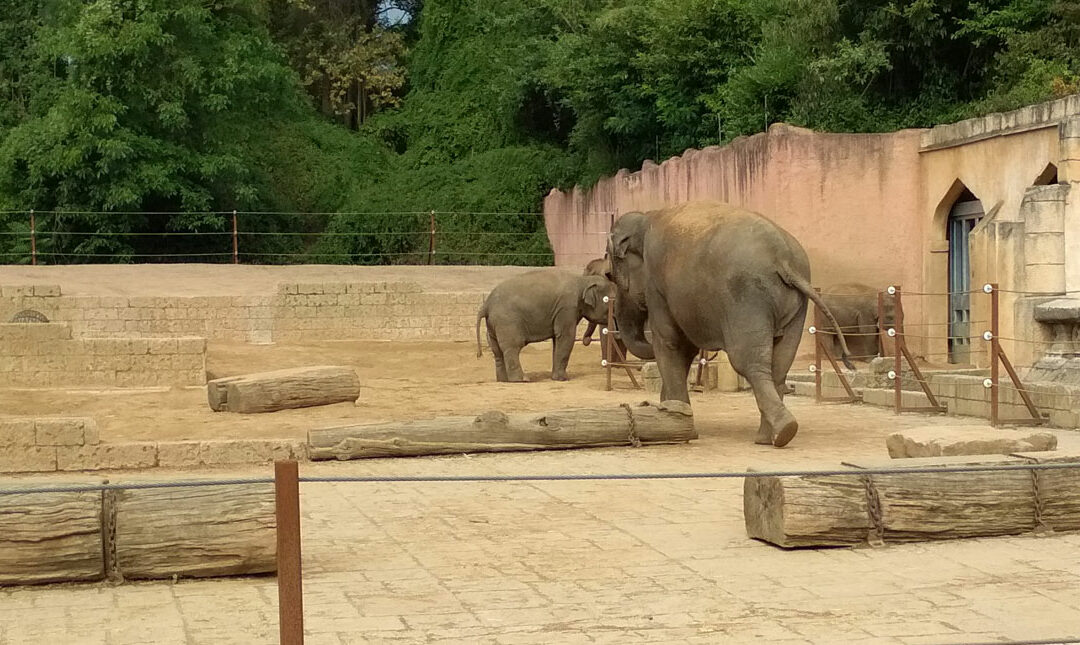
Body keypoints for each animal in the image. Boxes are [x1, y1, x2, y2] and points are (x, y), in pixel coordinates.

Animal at [477, 269, 613, 380]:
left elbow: (557, 340)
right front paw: (563, 379)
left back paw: (503, 380)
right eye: (610, 302)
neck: (583, 281)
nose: (587, 340)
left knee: (497, 351)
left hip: (492, 324)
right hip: (507, 322)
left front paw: (556, 377)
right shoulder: (567, 307)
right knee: (512, 347)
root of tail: (486, 305)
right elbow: (566, 337)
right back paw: (521, 380)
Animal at [609, 200, 851, 447]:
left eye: (610, 275)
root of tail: (784, 259)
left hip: (746, 297)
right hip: (795, 306)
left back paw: (782, 431)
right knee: (780, 364)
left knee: (747, 360)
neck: (646, 217)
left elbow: (670, 342)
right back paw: (771, 437)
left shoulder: (657, 284)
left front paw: (675, 422)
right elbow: (685, 349)